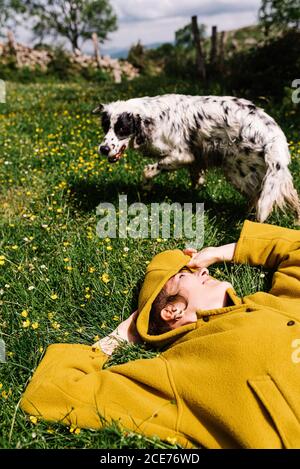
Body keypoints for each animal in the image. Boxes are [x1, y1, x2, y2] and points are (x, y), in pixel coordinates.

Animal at [92, 93, 298, 223]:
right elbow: (196, 177)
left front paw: (146, 187)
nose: (103, 149)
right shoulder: (196, 159)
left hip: (238, 173)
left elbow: (148, 171)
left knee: (258, 198)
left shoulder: (182, 155)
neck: (152, 117)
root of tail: (272, 135)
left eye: (122, 129)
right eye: (105, 127)